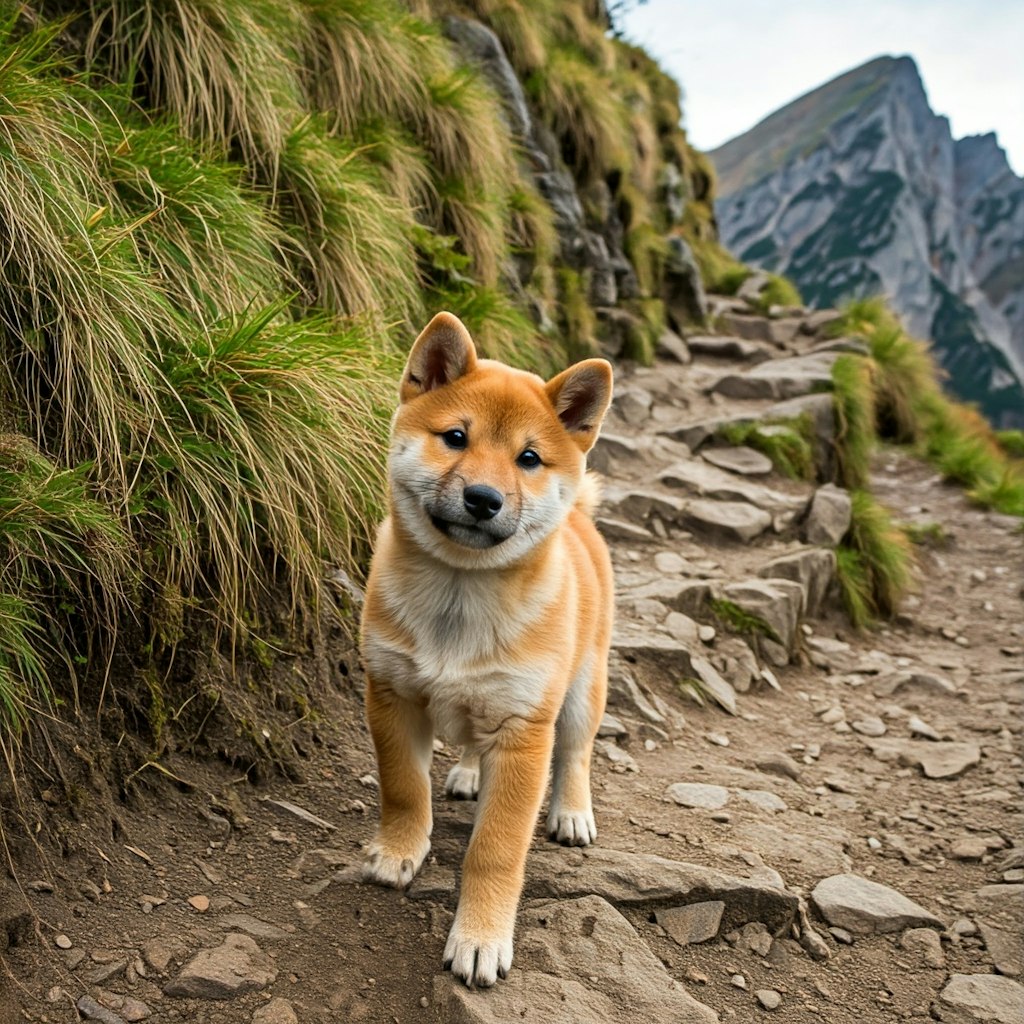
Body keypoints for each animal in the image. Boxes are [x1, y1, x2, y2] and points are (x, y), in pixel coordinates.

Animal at [360, 309, 614, 983]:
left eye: (529, 458)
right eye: (455, 437)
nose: (483, 498)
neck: (459, 596)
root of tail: (582, 520)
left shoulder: (525, 732)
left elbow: (496, 851)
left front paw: (481, 937)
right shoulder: (391, 696)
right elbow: (403, 789)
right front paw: (399, 850)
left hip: (582, 692)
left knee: (577, 754)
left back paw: (572, 812)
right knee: (474, 743)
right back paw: (471, 774)